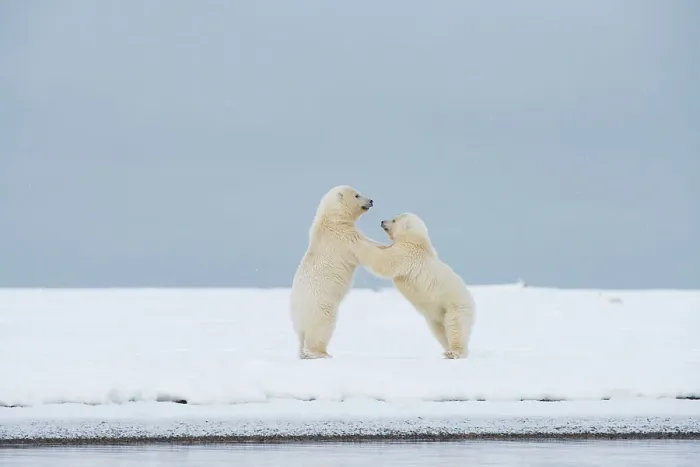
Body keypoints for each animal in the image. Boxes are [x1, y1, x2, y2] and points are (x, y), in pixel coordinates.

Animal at [289, 185, 383, 359]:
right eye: (357, 195)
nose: (371, 201)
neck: (330, 218)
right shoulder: (343, 236)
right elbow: (365, 248)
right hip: (320, 306)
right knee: (322, 327)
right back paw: (321, 353)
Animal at [353, 212, 476, 359]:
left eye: (394, 220)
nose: (382, 221)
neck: (418, 241)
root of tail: (471, 300)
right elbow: (384, 249)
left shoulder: (408, 253)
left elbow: (384, 261)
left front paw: (357, 242)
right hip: (436, 314)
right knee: (439, 331)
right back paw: (447, 350)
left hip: (455, 305)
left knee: (455, 325)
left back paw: (454, 352)